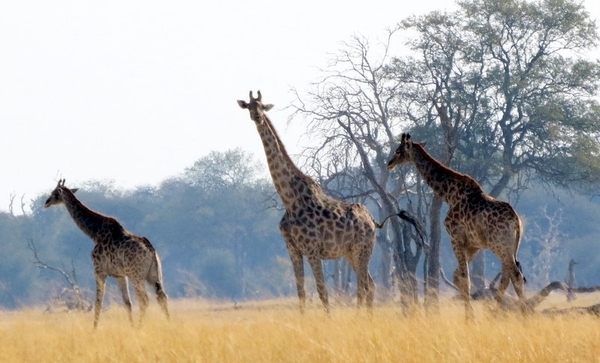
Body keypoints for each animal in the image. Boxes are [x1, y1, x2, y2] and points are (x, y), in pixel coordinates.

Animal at [44, 181, 169, 328]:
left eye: (54, 193)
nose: (46, 202)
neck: (95, 233)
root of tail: (151, 250)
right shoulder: (120, 275)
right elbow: (127, 302)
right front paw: (131, 327)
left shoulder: (99, 270)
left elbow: (98, 302)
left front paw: (93, 329)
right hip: (154, 275)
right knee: (161, 297)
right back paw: (168, 324)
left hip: (136, 275)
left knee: (144, 299)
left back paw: (140, 328)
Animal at [238, 91, 376, 312]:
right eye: (249, 106)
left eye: (262, 106)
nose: (257, 116)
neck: (289, 200)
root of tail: (371, 220)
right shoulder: (293, 250)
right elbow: (301, 292)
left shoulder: (312, 250)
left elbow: (322, 291)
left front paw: (328, 319)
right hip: (351, 253)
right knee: (370, 285)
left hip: (362, 249)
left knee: (364, 286)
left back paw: (361, 317)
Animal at [386, 134, 524, 318]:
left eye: (398, 151)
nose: (389, 163)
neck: (450, 194)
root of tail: (516, 220)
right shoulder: (472, 245)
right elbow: (457, 276)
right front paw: (469, 314)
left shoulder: (456, 238)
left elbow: (464, 276)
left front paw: (469, 318)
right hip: (509, 247)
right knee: (507, 276)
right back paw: (496, 313)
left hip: (500, 245)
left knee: (515, 274)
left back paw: (523, 313)